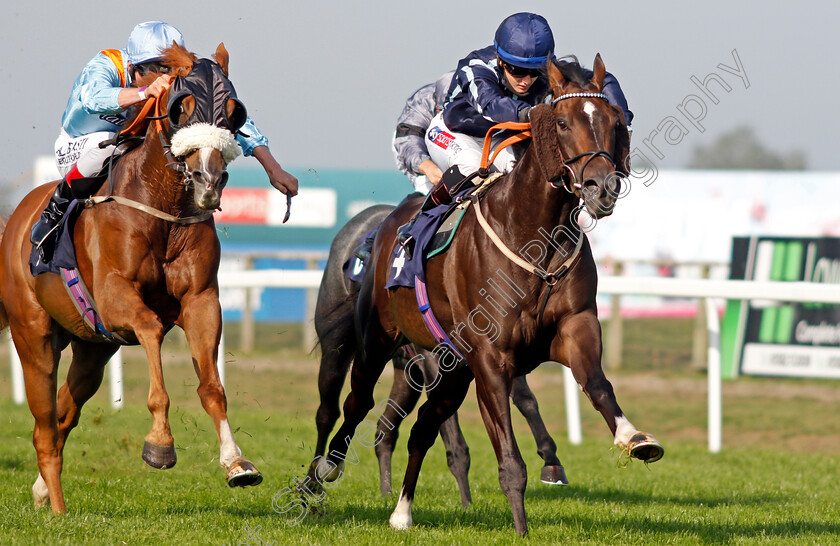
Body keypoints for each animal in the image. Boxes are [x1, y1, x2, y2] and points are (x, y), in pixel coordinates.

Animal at [0, 41, 260, 510]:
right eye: (180, 106)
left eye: (234, 111)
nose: (210, 181)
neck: (164, 210)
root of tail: (14, 222)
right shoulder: (114, 296)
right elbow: (152, 328)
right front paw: (160, 442)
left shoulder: (201, 299)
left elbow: (212, 386)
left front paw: (236, 462)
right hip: (34, 337)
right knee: (44, 429)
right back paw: (59, 509)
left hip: (91, 347)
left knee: (64, 414)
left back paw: (43, 491)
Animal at [316, 204, 572, 506]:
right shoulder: (440, 361)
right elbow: (451, 434)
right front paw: (466, 501)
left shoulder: (493, 350)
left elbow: (524, 398)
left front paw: (551, 461)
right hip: (338, 346)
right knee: (327, 411)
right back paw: (314, 480)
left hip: (407, 375)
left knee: (384, 430)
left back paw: (386, 490)